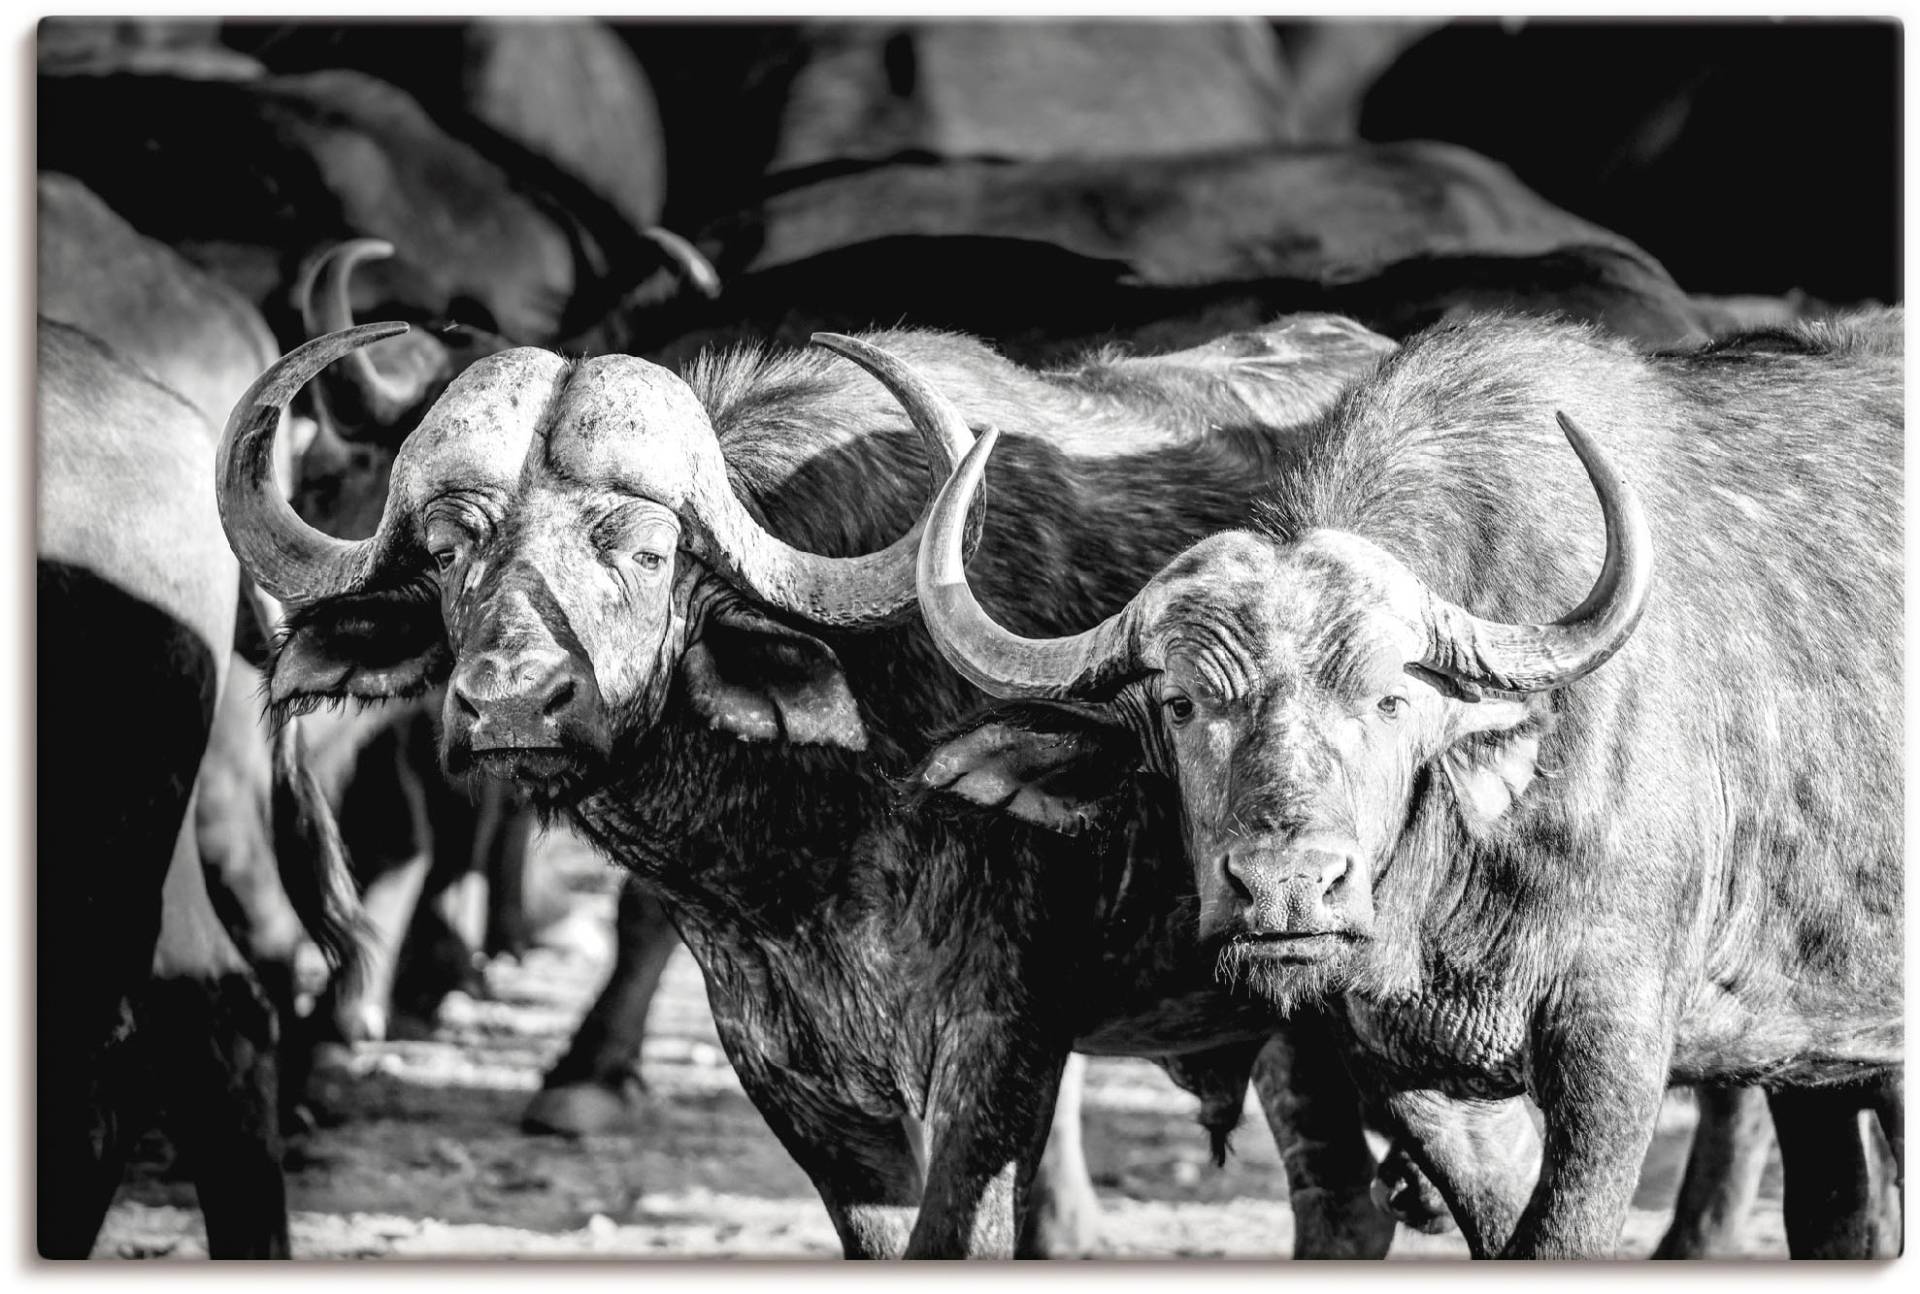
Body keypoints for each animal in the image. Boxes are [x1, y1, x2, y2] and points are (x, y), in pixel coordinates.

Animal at [910, 307, 1904, 1251]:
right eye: (1184, 704)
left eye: (1391, 698)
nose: (1287, 888)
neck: (1460, 870)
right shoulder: (1419, 1081)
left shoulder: (1614, 1051)